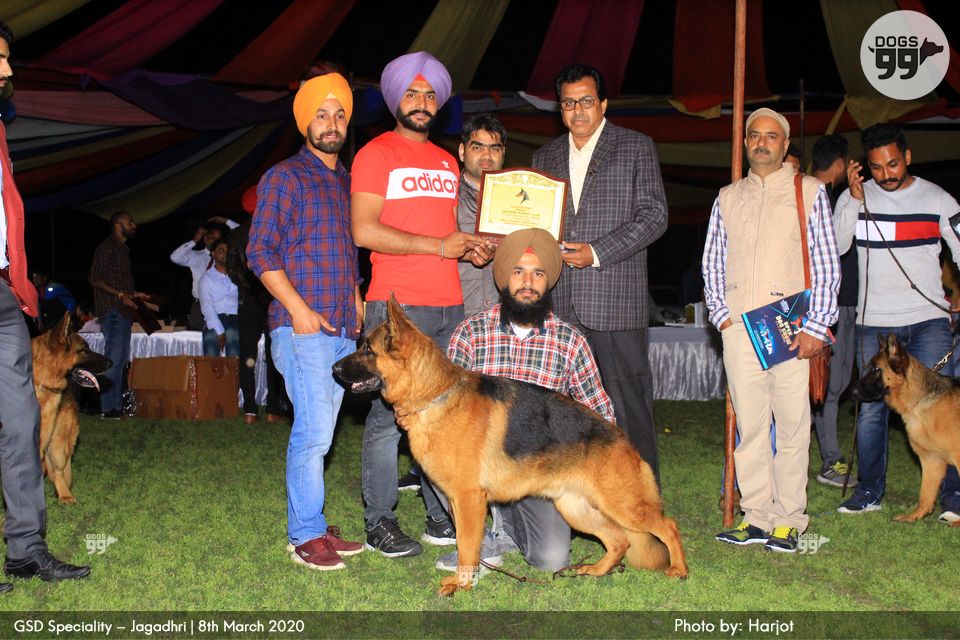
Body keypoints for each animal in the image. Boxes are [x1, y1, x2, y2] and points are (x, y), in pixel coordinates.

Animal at [333, 298, 687, 596]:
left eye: (367, 349)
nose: (334, 369)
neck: (434, 396)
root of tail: (623, 438)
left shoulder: (468, 500)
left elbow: (467, 546)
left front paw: (463, 584)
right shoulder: (457, 500)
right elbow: (465, 543)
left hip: (623, 506)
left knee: (667, 526)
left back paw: (680, 570)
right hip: (576, 508)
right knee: (618, 541)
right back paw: (597, 571)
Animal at [855, 334, 960, 526]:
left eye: (876, 369)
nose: (853, 392)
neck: (918, 402)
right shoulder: (931, 461)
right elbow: (925, 495)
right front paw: (915, 516)